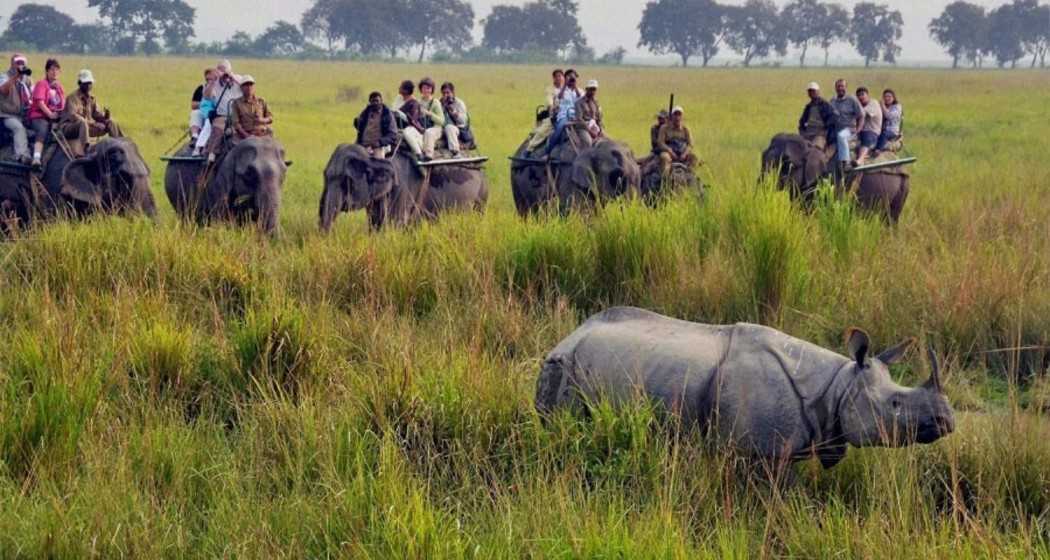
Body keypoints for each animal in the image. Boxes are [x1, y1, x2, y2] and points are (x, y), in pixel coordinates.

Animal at [317, 143, 485, 233]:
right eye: (325, 176)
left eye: (346, 180)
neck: (374, 157)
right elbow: (375, 224)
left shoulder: (403, 188)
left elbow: (394, 225)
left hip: (482, 196)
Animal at [537, 304, 957, 466]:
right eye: (895, 405)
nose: (948, 421)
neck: (838, 385)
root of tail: (569, 336)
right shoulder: (757, 451)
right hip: (563, 367)